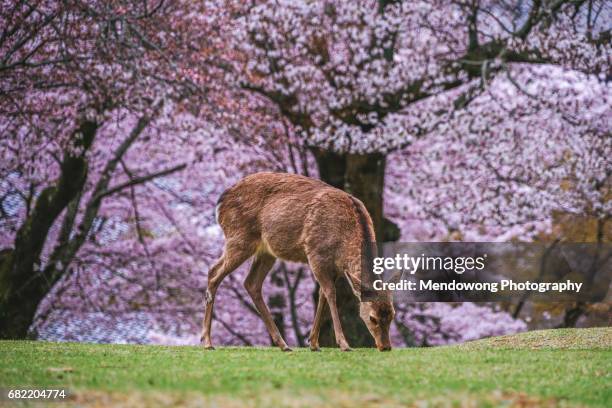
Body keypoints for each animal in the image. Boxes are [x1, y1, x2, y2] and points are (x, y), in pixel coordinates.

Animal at [198, 171, 394, 350]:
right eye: (373, 318)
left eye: (392, 315)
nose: (385, 347)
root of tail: (220, 202)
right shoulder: (315, 253)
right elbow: (330, 294)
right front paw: (343, 344)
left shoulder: (336, 268)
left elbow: (322, 295)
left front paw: (313, 343)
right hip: (239, 237)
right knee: (213, 272)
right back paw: (207, 342)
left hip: (266, 252)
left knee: (251, 283)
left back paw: (283, 344)